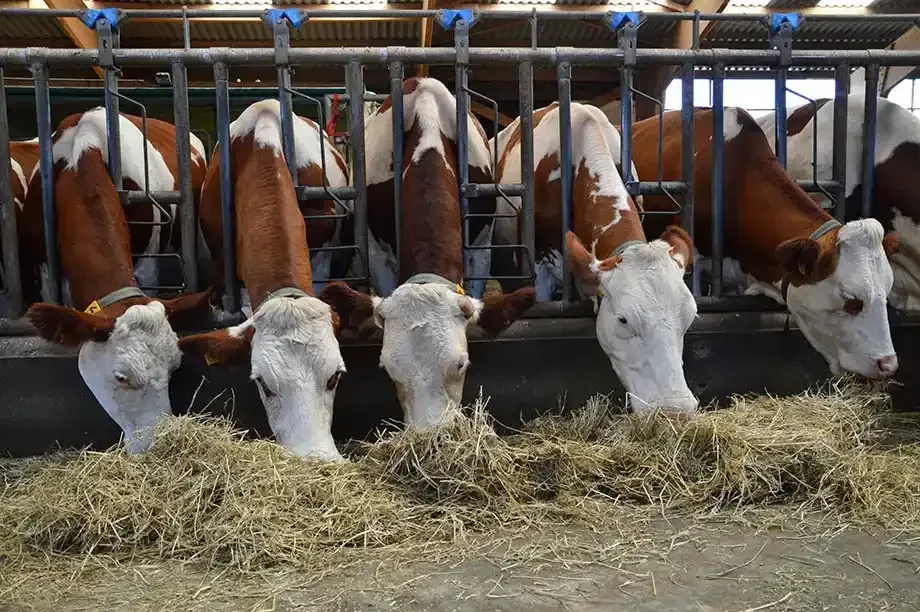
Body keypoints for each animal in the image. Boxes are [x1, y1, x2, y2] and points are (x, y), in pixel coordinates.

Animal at [21, 109, 213, 453]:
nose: (154, 444)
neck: (79, 156)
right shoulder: (42, 267)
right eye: (122, 377)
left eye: (173, 368)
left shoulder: (149, 258)